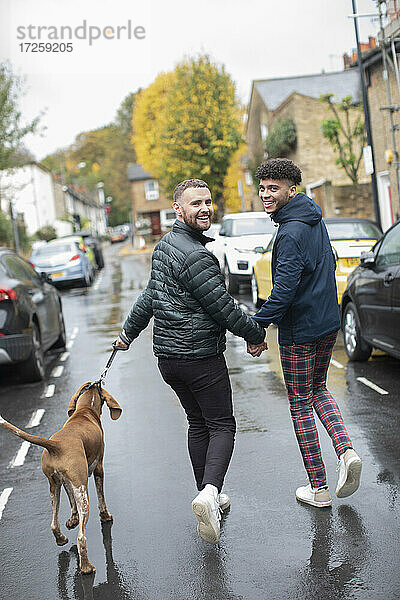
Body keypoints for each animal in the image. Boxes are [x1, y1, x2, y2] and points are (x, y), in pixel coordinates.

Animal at [0, 382, 122, 576]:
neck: (85, 410)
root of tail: (56, 445)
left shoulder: (66, 481)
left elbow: (71, 503)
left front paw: (72, 521)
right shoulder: (99, 469)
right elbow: (101, 498)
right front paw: (105, 516)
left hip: (54, 486)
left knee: (53, 524)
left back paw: (61, 539)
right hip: (83, 492)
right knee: (81, 537)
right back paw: (86, 567)